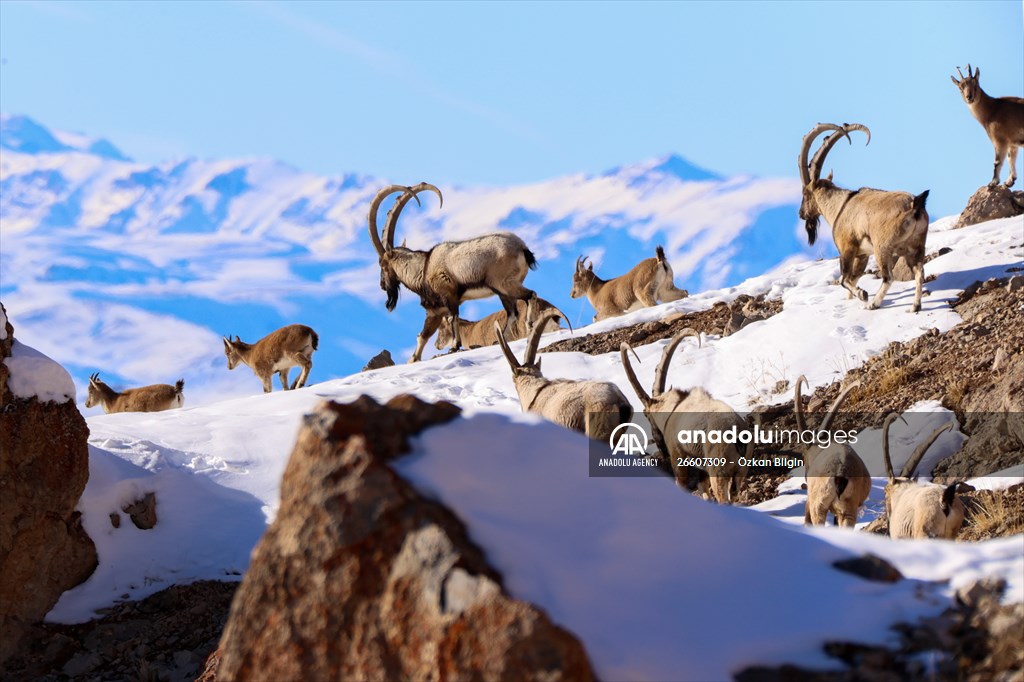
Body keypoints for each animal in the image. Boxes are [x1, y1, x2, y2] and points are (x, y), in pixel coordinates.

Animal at [368, 183, 538, 363]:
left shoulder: (448, 295)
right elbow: (423, 336)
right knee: (512, 313)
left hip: (504, 284)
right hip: (502, 291)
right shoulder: (436, 310)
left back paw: (529, 326)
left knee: (530, 295)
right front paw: (413, 359)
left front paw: (454, 346)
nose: (382, 285)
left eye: (382, 264)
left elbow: (452, 317)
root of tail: (522, 248)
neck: (424, 268)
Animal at [620, 330, 750, 504]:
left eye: (646, 414)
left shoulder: (677, 454)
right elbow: (703, 487)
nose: (658, 441)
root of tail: (738, 437)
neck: (674, 408)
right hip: (740, 471)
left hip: (719, 470)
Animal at [798, 123, 931, 313]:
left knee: (888, 277)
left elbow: (844, 280)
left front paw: (863, 294)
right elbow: (852, 279)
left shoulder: (847, 249)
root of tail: (915, 205)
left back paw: (873, 304)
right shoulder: (862, 255)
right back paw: (915, 306)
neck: (840, 206)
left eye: (805, 193)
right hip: (916, 247)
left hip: (882, 248)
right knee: (920, 273)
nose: (801, 214)